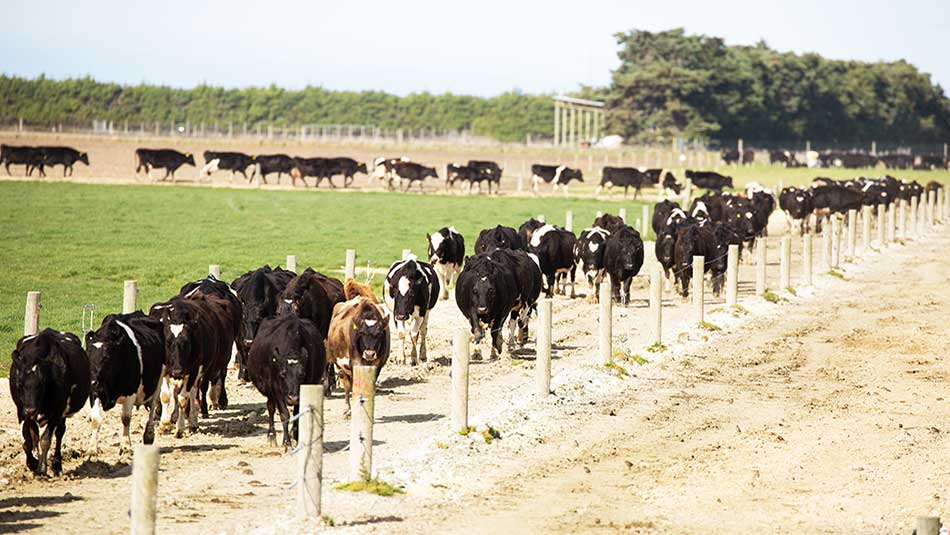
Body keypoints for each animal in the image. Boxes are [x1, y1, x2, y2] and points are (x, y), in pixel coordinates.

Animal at [9, 330, 90, 478]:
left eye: (41, 384)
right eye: (19, 383)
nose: (30, 410)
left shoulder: (57, 412)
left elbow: (45, 440)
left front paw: (41, 470)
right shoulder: (21, 411)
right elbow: (27, 442)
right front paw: (32, 463)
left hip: (62, 415)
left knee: (59, 434)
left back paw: (57, 466)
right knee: (34, 435)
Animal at [85, 312, 165, 454]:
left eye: (106, 358)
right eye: (88, 356)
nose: (91, 381)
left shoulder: (130, 392)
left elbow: (126, 418)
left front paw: (126, 444)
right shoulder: (94, 392)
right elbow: (95, 420)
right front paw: (92, 448)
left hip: (159, 380)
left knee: (153, 405)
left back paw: (149, 435)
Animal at [247, 316, 326, 450]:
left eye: (302, 374)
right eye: (282, 374)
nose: (292, 398)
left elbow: (297, 413)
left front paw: (296, 437)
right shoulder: (276, 388)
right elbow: (284, 414)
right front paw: (286, 442)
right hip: (270, 393)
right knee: (271, 408)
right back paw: (271, 436)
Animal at [326, 278, 388, 416]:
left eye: (380, 333)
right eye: (361, 332)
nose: (369, 354)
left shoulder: (377, 365)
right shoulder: (354, 363)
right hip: (341, 366)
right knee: (347, 385)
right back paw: (347, 408)